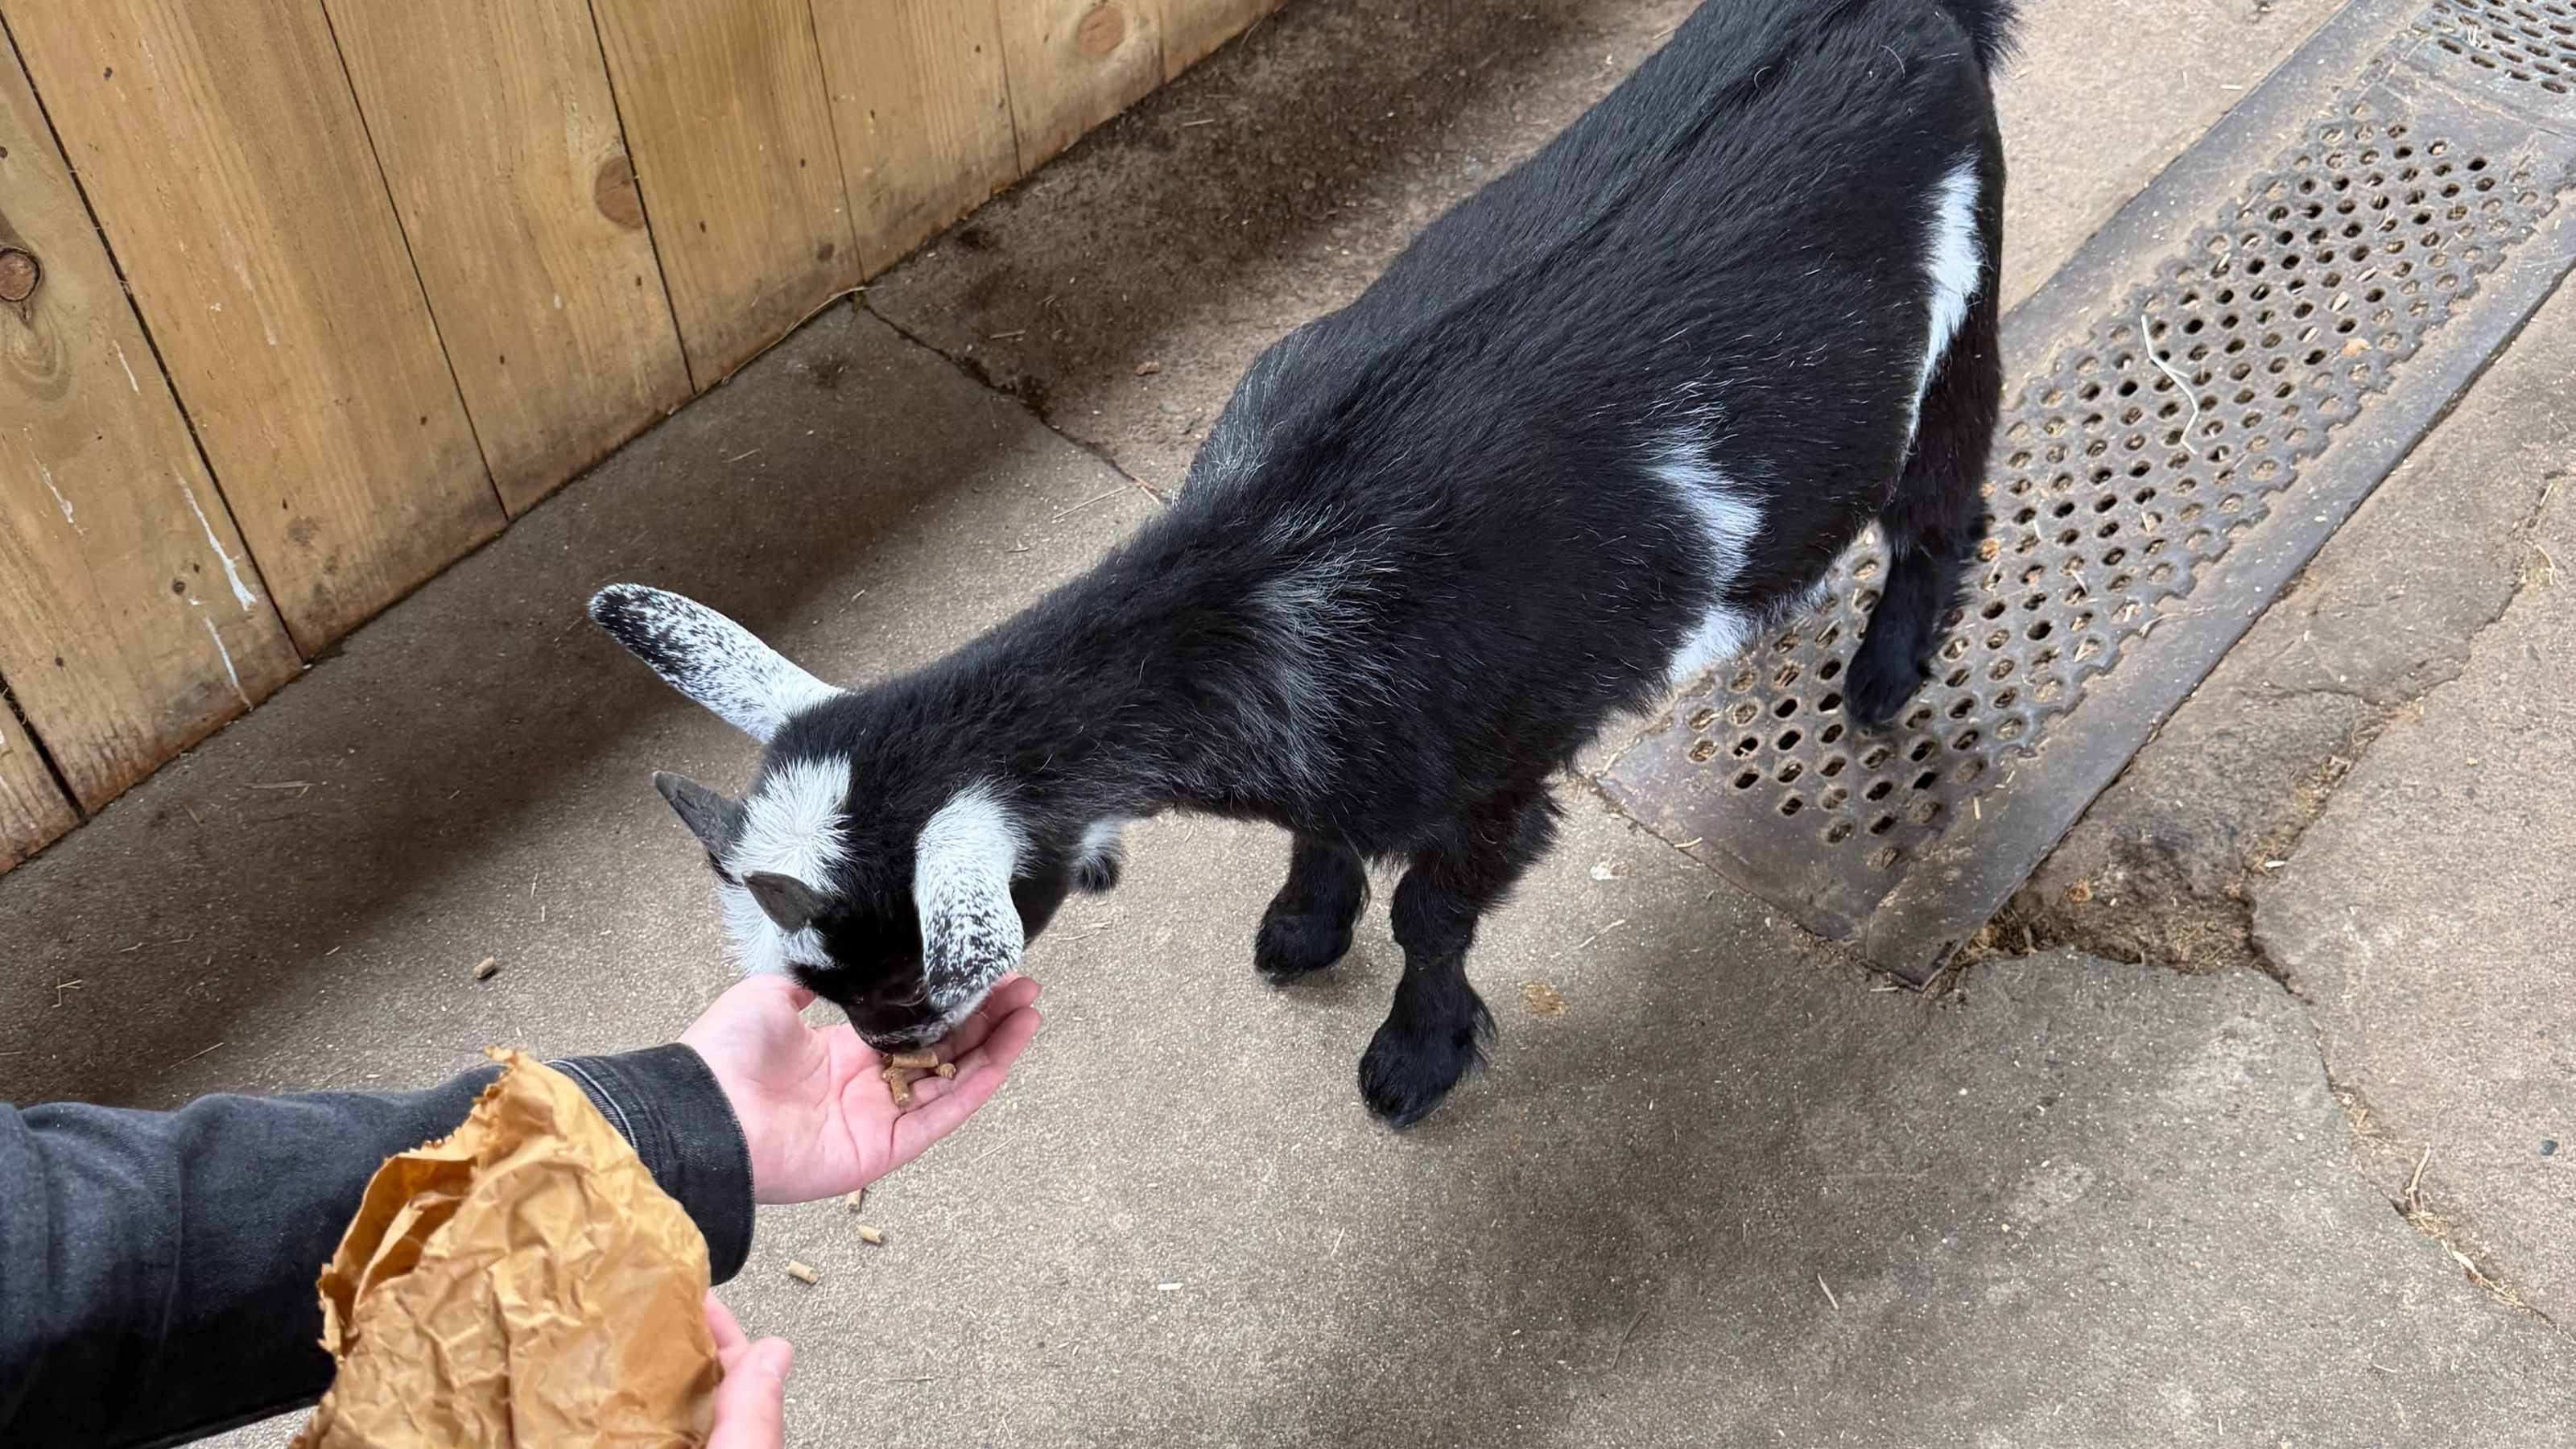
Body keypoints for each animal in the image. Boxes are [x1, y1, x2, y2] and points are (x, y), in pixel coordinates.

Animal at [592, 0, 2015, 1126]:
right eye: (833, 992)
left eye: (903, 985)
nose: (898, 1050)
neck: (1264, 578)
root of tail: (1905, 13)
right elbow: (1324, 828)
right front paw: (1304, 926)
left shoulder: (1498, 772)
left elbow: (1432, 916)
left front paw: (1415, 1058)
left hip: (1964, 310)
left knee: (1940, 507)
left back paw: (1886, 677)